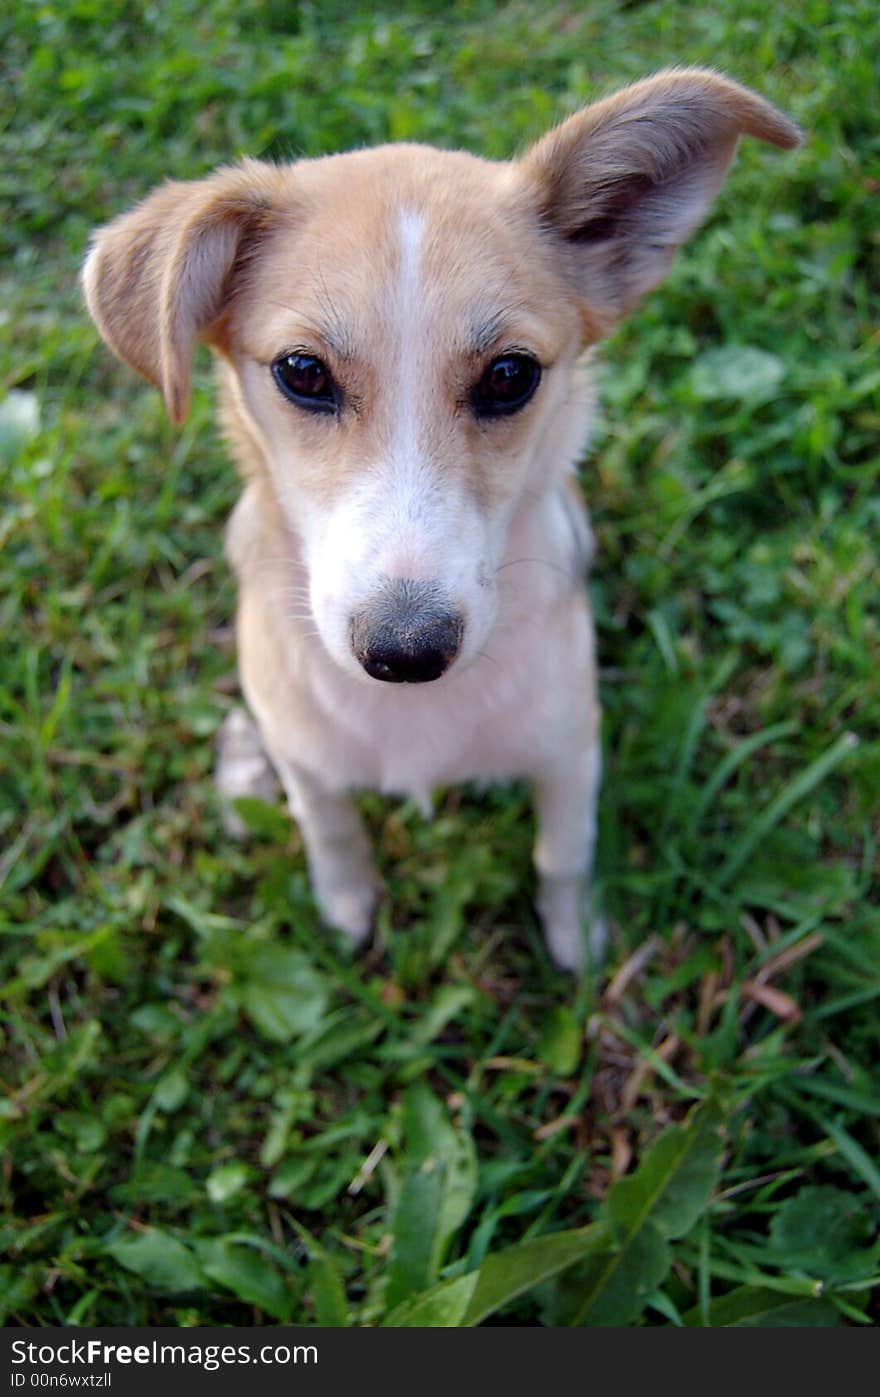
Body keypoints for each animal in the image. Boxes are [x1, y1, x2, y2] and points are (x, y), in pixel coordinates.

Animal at [86, 70, 804, 966]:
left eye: (509, 375)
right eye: (302, 372)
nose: (405, 651)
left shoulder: (571, 747)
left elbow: (562, 853)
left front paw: (576, 944)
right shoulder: (311, 763)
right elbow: (329, 827)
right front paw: (346, 908)